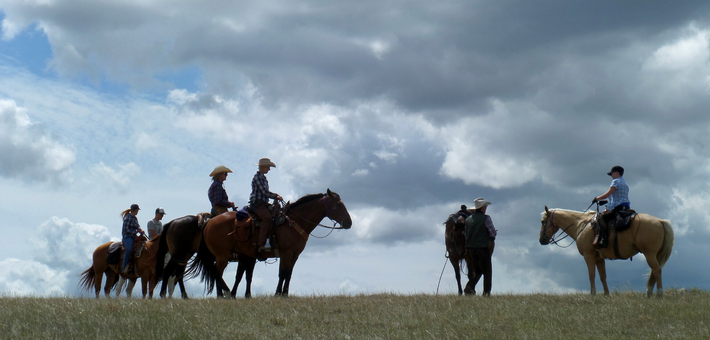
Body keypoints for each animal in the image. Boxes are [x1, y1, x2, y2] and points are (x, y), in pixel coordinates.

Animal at [192, 189, 354, 298]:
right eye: (339, 205)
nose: (349, 223)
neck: (294, 221)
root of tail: (209, 222)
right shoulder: (286, 253)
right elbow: (282, 273)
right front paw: (277, 294)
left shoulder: (295, 255)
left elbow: (288, 274)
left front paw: (285, 294)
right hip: (222, 255)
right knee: (216, 272)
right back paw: (225, 292)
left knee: (216, 273)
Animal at [544, 206, 676, 296]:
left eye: (542, 222)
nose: (542, 240)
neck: (581, 225)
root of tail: (660, 221)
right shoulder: (599, 258)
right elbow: (603, 276)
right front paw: (606, 295)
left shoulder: (588, 255)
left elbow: (591, 275)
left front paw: (593, 294)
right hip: (655, 255)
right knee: (654, 271)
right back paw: (649, 294)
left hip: (649, 254)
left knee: (657, 270)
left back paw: (659, 294)